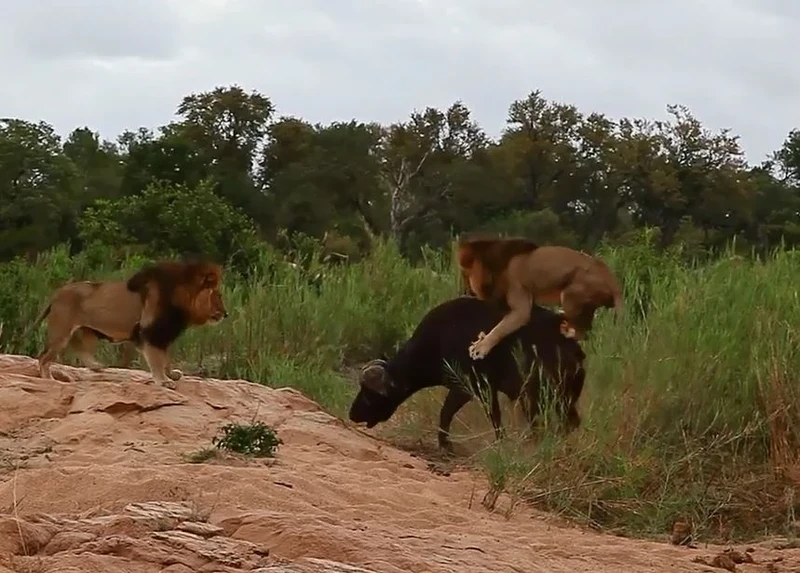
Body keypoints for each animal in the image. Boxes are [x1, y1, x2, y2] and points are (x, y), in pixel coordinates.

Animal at [32, 256, 227, 386]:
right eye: (218, 295)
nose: (226, 314)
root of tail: (56, 294)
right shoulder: (150, 331)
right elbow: (157, 358)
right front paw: (163, 381)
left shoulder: (163, 334)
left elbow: (166, 358)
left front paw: (172, 374)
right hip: (62, 332)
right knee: (43, 358)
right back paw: (49, 380)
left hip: (87, 332)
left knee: (78, 348)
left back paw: (97, 366)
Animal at [346, 294, 584, 452]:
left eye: (369, 395)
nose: (352, 414)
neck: (439, 339)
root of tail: (573, 349)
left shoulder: (467, 389)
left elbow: (450, 414)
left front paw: (446, 445)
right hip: (564, 401)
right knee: (569, 424)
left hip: (533, 398)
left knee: (540, 427)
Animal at [454, 235, 620, 360]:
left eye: (466, 275)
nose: (465, 290)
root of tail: (613, 281)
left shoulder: (518, 294)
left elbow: (501, 328)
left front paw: (481, 347)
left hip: (570, 292)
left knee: (583, 332)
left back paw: (568, 329)